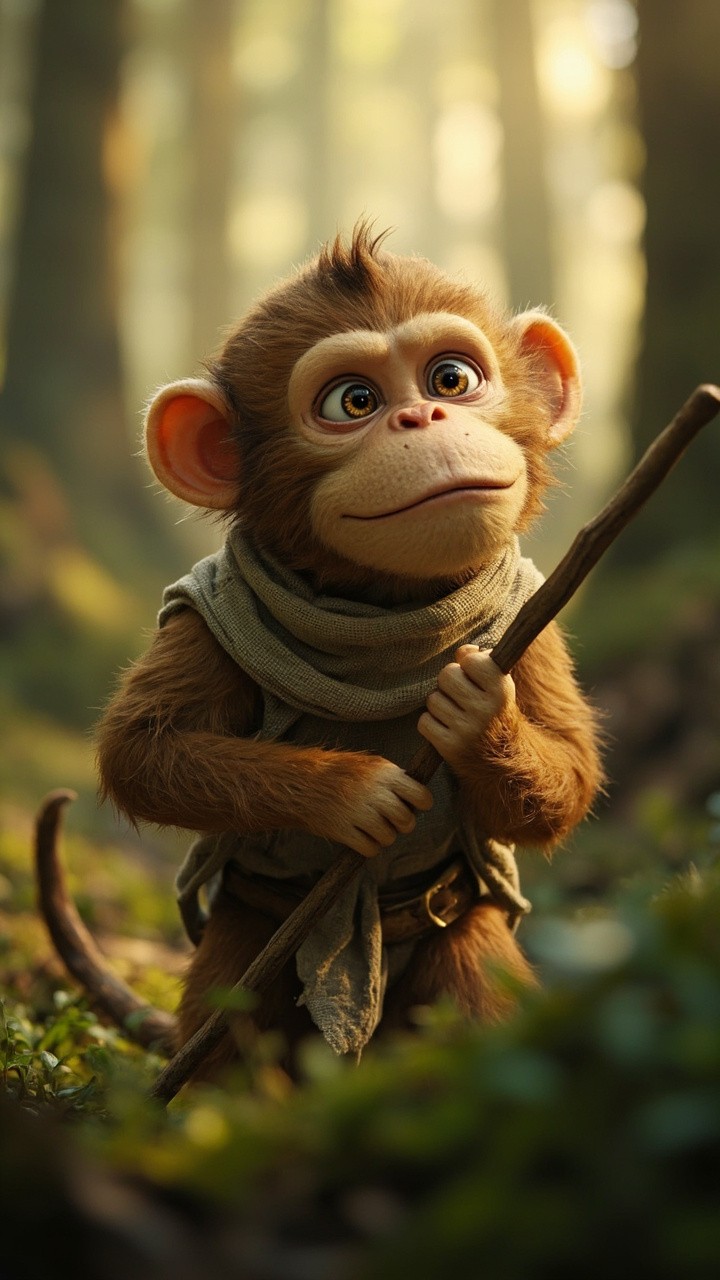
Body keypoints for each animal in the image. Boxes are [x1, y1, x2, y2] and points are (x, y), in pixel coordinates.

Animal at [95, 223, 602, 1079]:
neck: (383, 614)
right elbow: (139, 752)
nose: (424, 416)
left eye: (453, 377)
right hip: (243, 940)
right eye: (354, 402)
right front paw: (355, 793)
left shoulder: (535, 617)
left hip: (461, 939)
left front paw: (477, 717)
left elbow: (569, 773)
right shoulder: (204, 612)